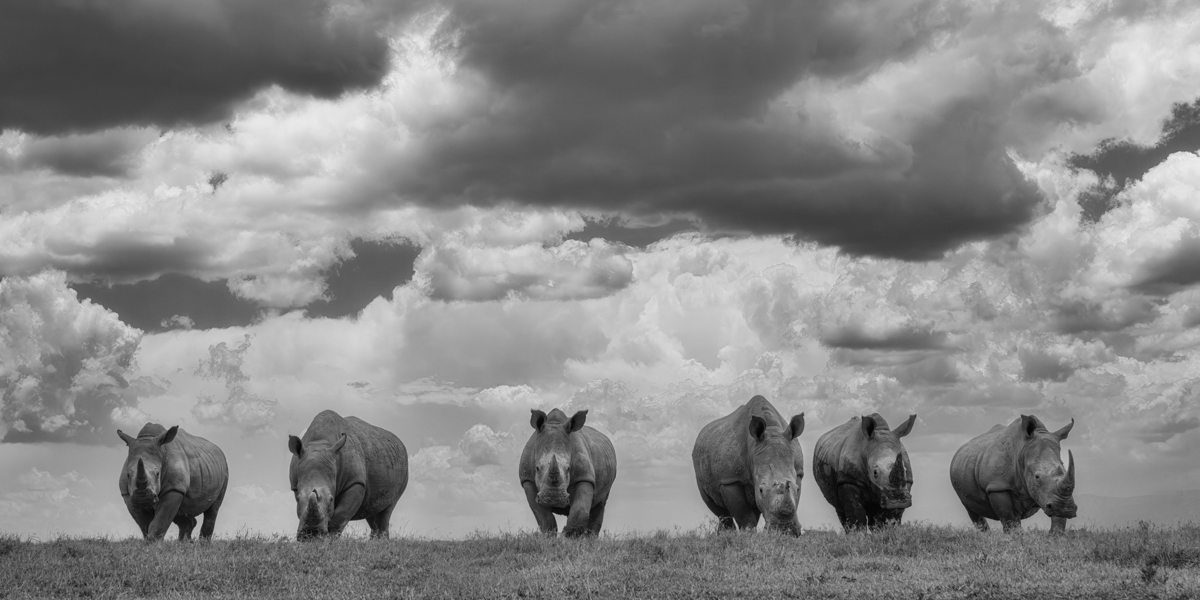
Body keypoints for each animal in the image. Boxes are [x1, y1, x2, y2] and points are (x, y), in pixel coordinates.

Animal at [288, 410, 408, 540]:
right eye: (298, 499)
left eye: (331, 499)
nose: (312, 534)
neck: (319, 444)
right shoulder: (295, 484)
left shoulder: (355, 482)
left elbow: (340, 515)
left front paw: (330, 539)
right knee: (372, 508)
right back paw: (374, 541)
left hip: (404, 469)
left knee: (388, 509)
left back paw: (382, 541)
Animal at [519, 408, 617, 537]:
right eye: (537, 468)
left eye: (569, 468)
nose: (553, 498)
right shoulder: (527, 479)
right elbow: (543, 516)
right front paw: (549, 537)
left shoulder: (584, 476)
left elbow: (580, 509)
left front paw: (569, 537)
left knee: (600, 503)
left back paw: (590, 539)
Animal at [692, 395, 805, 535]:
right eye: (761, 490)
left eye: (797, 489)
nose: (785, 530)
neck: (772, 430)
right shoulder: (730, 480)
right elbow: (744, 514)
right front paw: (748, 535)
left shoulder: (798, 473)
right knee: (719, 510)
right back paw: (726, 534)